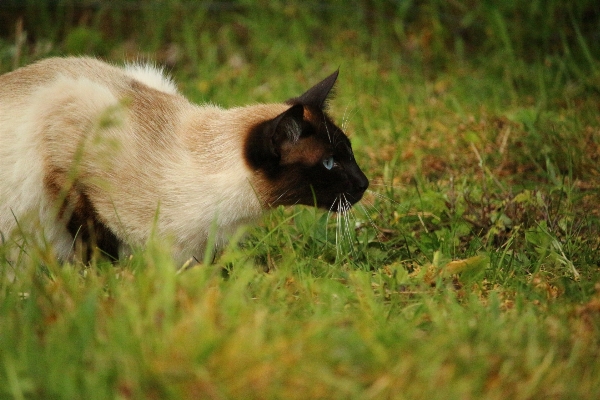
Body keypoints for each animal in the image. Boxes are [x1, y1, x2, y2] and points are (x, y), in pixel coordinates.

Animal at [0, 55, 368, 262]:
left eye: (348, 154)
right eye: (330, 163)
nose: (365, 183)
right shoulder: (68, 158)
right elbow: (97, 245)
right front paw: (108, 286)